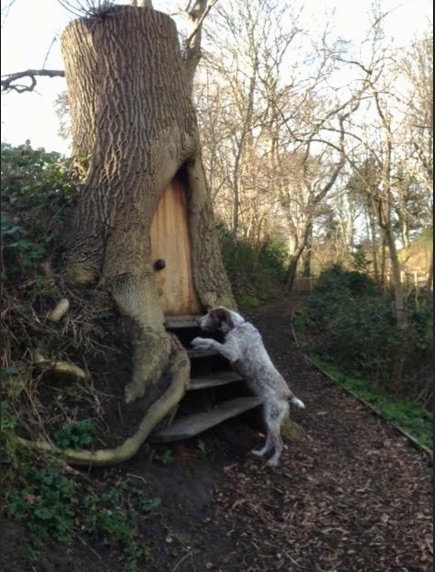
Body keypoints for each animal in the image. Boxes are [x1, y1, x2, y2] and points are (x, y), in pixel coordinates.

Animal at [192, 308, 304, 464]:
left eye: (211, 315)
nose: (196, 321)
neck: (237, 326)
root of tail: (288, 394)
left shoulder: (232, 352)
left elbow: (212, 341)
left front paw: (198, 340)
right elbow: (210, 344)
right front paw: (199, 344)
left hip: (272, 418)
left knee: (279, 443)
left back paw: (273, 461)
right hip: (268, 417)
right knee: (270, 439)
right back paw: (260, 453)